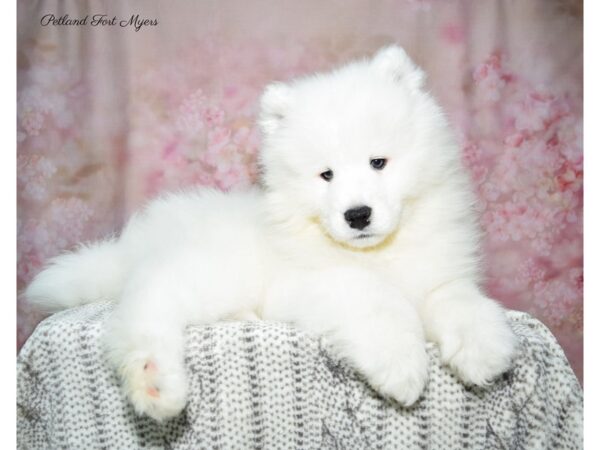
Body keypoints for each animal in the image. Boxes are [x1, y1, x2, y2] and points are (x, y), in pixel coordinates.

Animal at [25, 46, 516, 422]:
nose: (357, 215)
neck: (377, 253)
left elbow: (457, 297)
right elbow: (376, 298)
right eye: (326, 175)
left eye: (378, 162)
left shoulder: (437, 273)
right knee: (146, 302)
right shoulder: (310, 284)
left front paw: (482, 347)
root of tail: (134, 243)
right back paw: (154, 380)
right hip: (211, 271)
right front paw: (401, 364)